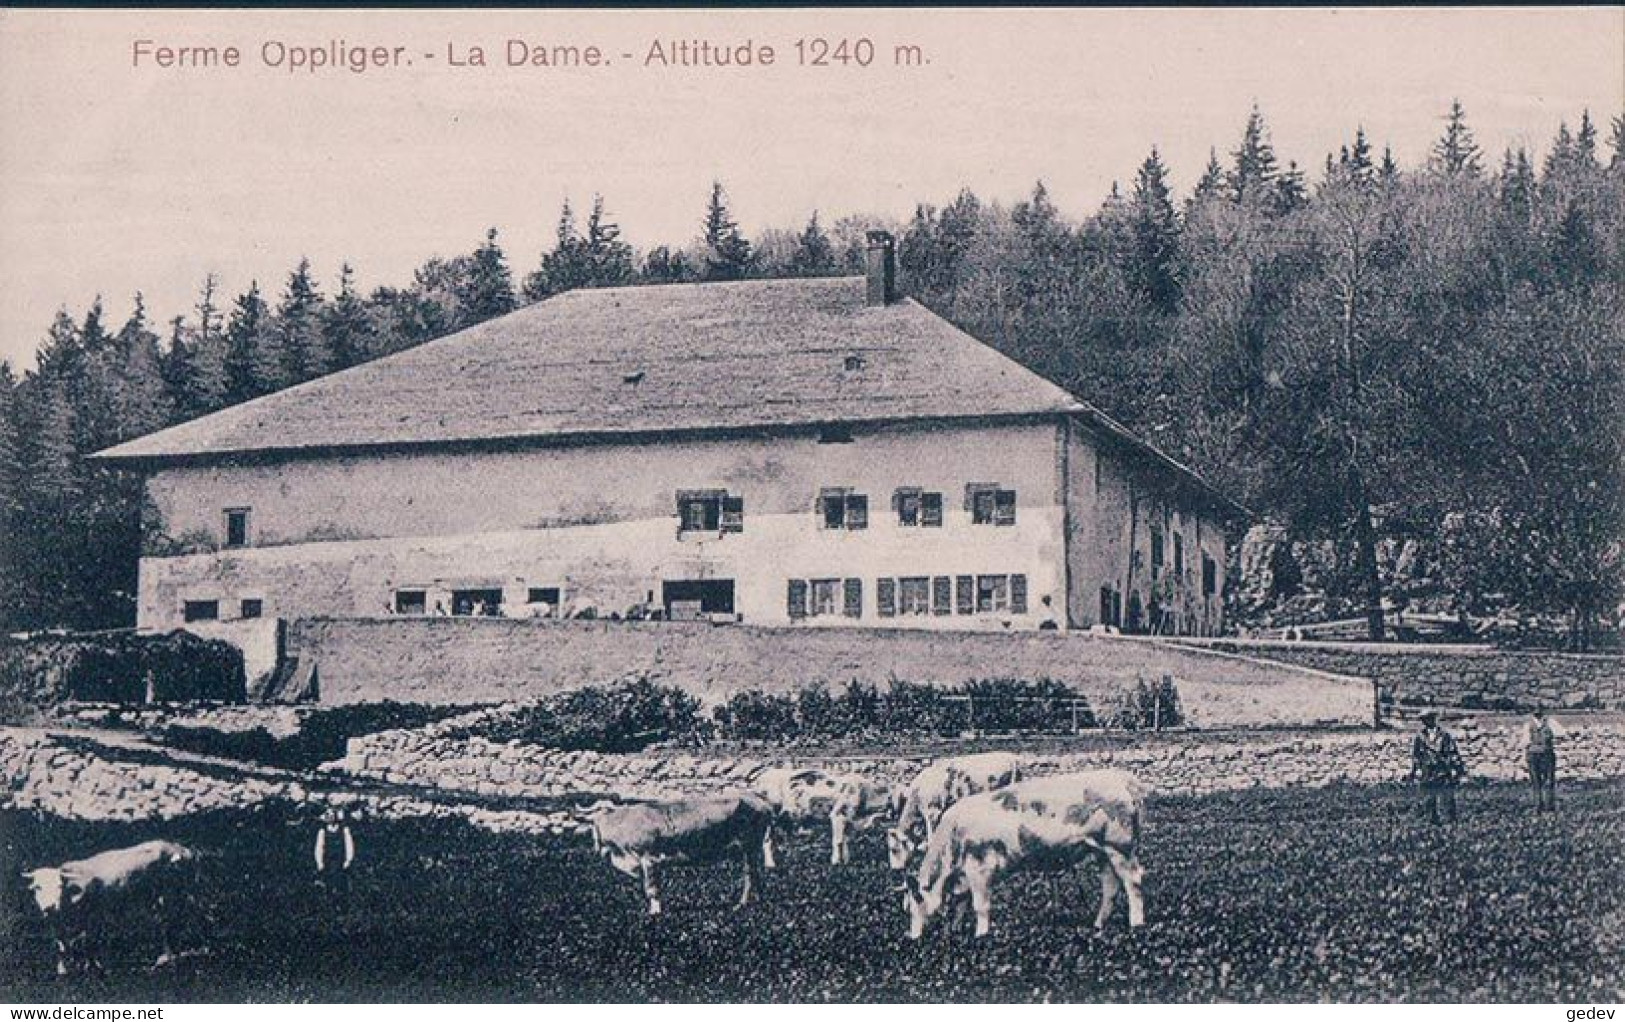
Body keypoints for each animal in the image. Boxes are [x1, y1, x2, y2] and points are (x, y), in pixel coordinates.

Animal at [23, 838, 199, 974]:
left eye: (59, 886)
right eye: (37, 887)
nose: (49, 907)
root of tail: (179, 848)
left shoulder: (91, 916)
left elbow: (88, 942)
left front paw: (92, 967)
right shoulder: (56, 923)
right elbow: (61, 946)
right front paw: (63, 970)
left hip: (171, 897)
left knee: (169, 925)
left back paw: (167, 960)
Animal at [591, 789, 773, 916]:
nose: (596, 844)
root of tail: (757, 796)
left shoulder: (649, 858)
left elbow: (652, 889)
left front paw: (655, 913)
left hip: (749, 845)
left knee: (749, 875)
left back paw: (741, 904)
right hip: (750, 849)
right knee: (754, 875)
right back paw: (758, 902)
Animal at [754, 766, 897, 857]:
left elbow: (845, 842)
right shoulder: (838, 815)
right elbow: (838, 841)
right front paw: (836, 863)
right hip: (775, 818)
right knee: (767, 842)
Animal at [897, 766, 1150, 942]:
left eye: (913, 905)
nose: (913, 938)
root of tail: (1124, 779)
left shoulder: (980, 866)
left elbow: (980, 905)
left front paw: (981, 936)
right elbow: (960, 903)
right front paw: (956, 930)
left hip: (1121, 846)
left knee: (1134, 881)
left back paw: (1136, 925)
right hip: (1102, 851)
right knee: (1110, 887)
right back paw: (1097, 925)